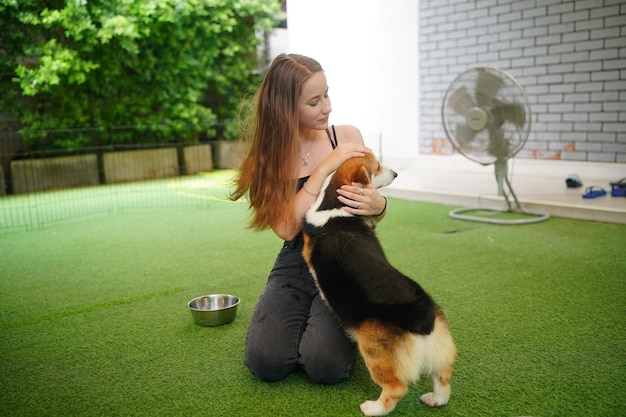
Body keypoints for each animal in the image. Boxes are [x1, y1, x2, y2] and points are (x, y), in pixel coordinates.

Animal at [302, 154, 454, 414]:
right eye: (378, 167)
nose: (396, 174)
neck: (334, 205)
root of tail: (423, 317)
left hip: (374, 351)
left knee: (396, 389)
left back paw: (372, 409)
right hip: (439, 350)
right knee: (442, 377)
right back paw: (435, 399)